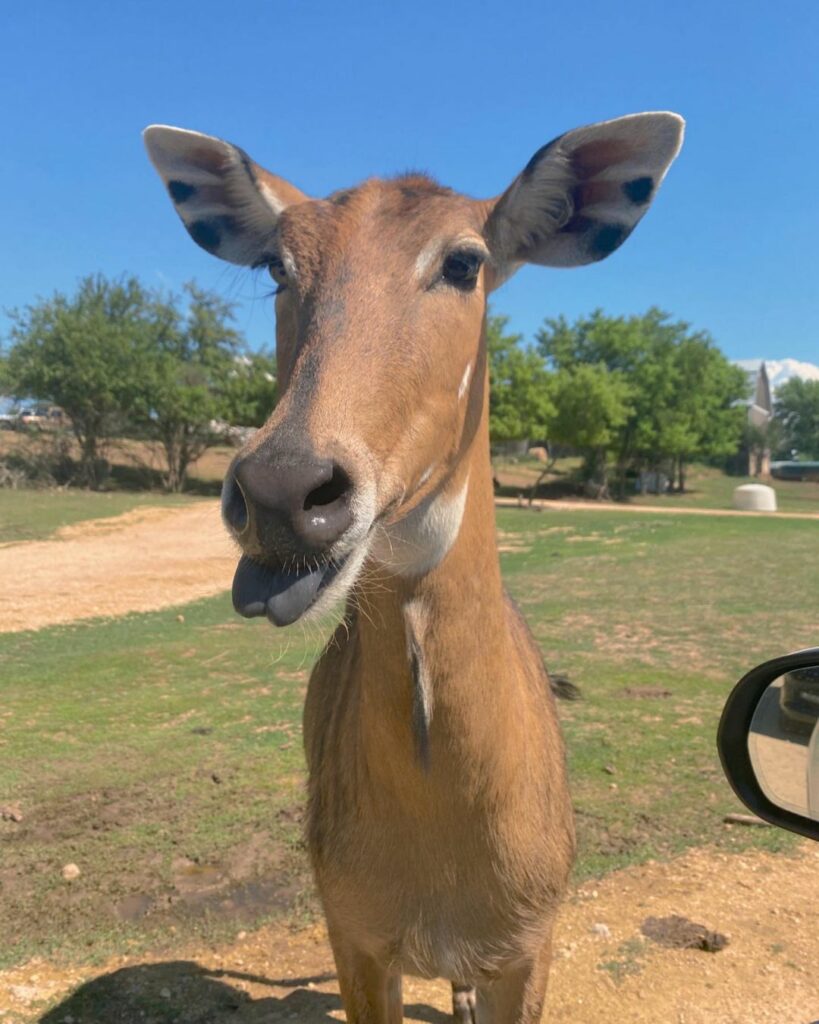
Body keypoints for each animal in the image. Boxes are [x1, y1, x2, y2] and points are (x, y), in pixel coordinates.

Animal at [142, 114, 683, 1024]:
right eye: (276, 265)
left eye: (464, 261)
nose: (284, 490)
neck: (443, 871)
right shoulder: (353, 934)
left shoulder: (530, 945)